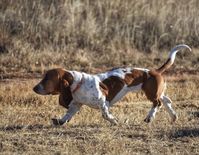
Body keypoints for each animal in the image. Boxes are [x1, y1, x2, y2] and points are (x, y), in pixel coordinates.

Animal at [33, 44, 192, 125]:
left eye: (47, 79)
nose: (34, 88)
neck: (78, 83)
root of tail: (154, 71)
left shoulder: (102, 101)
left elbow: (105, 114)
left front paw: (114, 121)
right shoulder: (76, 105)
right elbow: (67, 115)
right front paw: (59, 121)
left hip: (150, 93)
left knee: (157, 103)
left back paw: (149, 118)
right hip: (156, 91)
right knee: (166, 100)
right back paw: (173, 117)